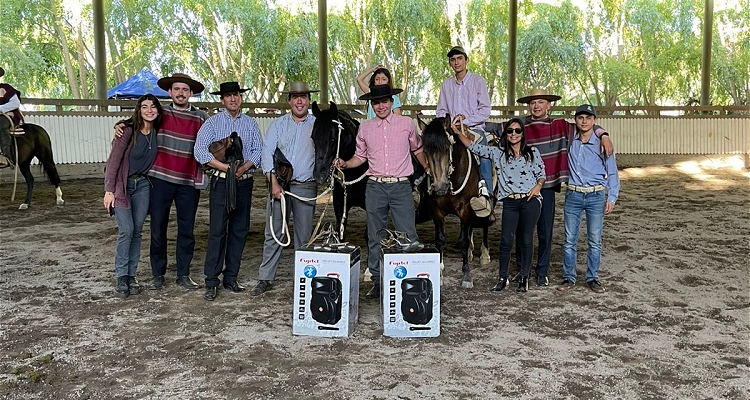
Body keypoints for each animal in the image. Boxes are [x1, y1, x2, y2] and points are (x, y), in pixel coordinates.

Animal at [420, 115, 496, 288]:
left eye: (447, 147)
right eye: (426, 151)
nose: (439, 186)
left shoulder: (466, 209)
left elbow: (463, 241)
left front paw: (466, 276)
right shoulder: (436, 211)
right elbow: (440, 240)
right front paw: (440, 274)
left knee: (484, 225)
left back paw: (484, 255)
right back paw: (470, 253)